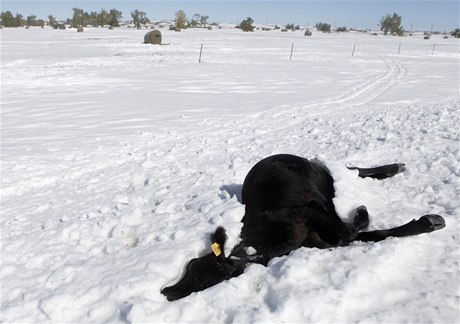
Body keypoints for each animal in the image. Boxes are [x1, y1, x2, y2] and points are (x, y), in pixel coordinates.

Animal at [162, 154, 446, 302]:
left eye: (200, 273)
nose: (167, 291)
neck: (264, 245)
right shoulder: (318, 238)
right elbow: (362, 235)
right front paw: (427, 222)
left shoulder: (306, 212)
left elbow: (349, 230)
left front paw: (363, 211)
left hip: (322, 173)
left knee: (353, 170)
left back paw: (393, 167)